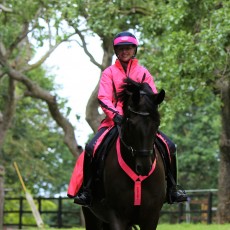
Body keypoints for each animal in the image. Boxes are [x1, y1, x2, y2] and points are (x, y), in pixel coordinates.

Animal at [83, 78, 167, 229]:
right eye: (131, 124)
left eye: (157, 123)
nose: (144, 167)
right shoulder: (117, 216)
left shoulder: (151, 217)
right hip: (92, 216)